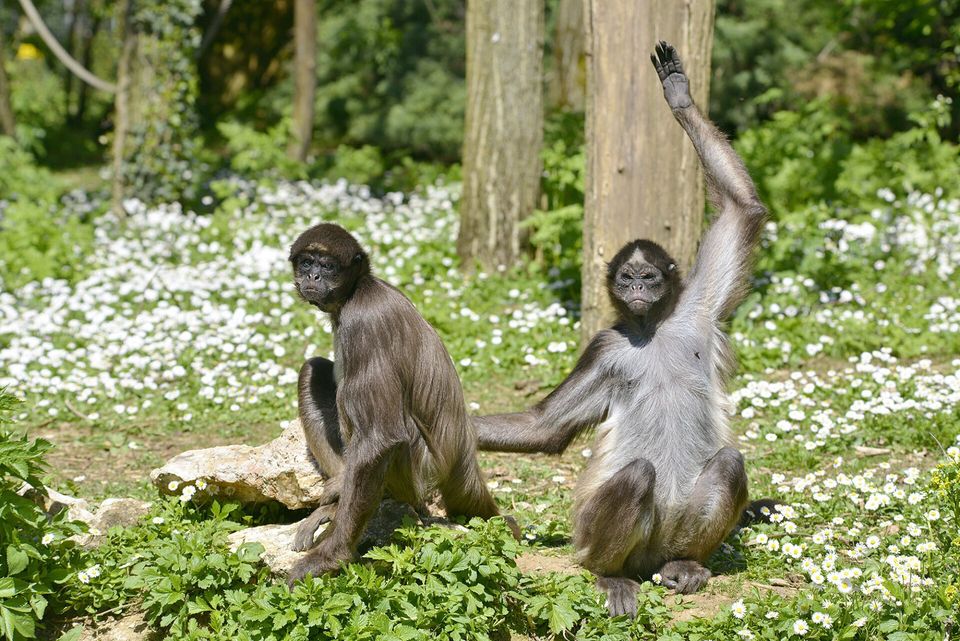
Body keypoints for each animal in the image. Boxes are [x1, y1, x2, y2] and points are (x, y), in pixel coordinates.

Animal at [286, 223, 517, 584]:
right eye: (307, 263)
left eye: (328, 266)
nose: (313, 277)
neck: (360, 289)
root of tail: (463, 458)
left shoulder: (364, 321)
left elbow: (382, 437)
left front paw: (330, 557)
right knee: (313, 370)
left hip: (416, 469)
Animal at [471, 42, 768, 617]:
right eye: (627, 278)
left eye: (649, 278)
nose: (636, 291)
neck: (651, 330)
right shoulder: (605, 345)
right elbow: (544, 428)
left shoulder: (694, 311)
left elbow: (743, 209)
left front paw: (679, 96)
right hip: (589, 533)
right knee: (636, 475)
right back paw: (609, 575)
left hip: (674, 529)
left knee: (727, 464)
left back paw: (685, 565)